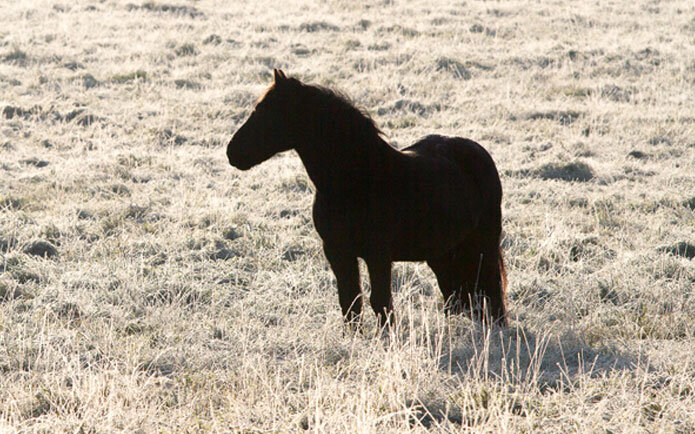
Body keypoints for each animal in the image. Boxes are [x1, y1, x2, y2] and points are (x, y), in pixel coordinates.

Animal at [228, 69, 506, 328]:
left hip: (484, 243)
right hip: (442, 251)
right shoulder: (337, 251)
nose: (233, 152)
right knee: (455, 293)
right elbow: (350, 301)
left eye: (266, 111)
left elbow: (380, 302)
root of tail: (476, 151)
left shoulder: (378, 255)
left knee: (491, 290)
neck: (357, 182)